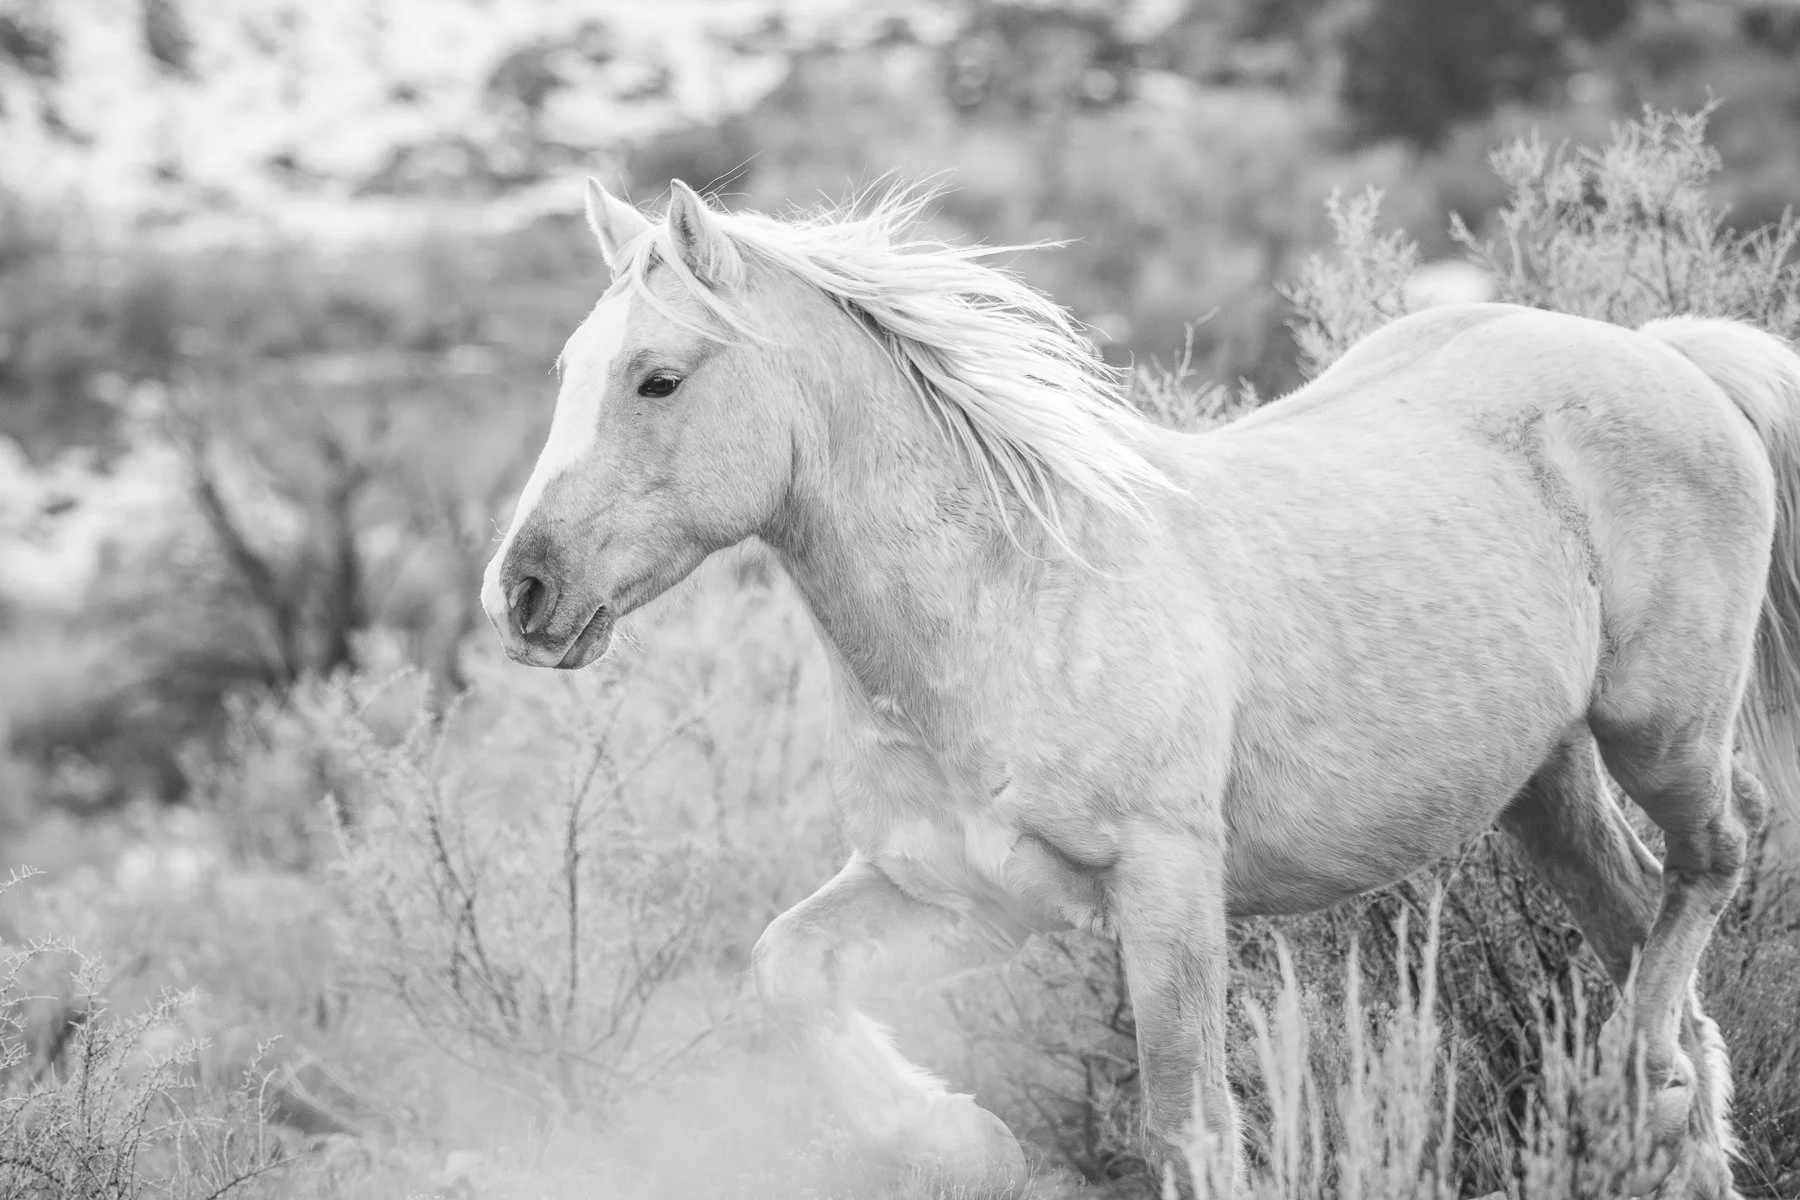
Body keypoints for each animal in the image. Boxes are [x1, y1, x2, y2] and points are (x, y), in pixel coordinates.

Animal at [479, 177, 1800, 1199]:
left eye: (657, 379)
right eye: (567, 368)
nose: (522, 595)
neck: (1003, 606)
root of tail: (1664, 352)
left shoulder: (1166, 885)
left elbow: (1191, 1127)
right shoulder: (966, 894)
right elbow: (785, 969)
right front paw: (960, 1140)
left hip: (1658, 726)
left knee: (1721, 856)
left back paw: (1637, 1064)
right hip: (1542, 784)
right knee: (1666, 966)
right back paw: (1660, 1097)